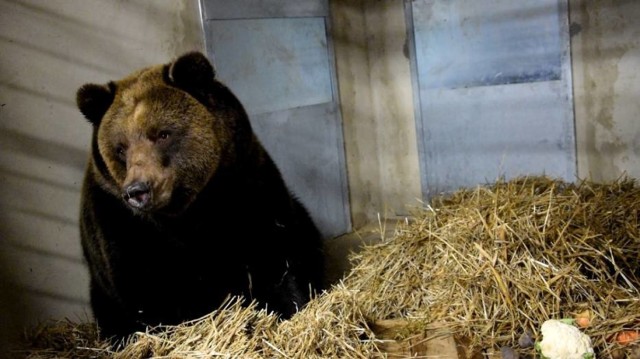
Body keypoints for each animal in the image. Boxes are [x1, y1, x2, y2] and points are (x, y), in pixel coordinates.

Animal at [75, 51, 324, 344]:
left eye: (162, 134)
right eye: (121, 147)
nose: (138, 191)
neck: (190, 212)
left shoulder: (247, 187)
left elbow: (276, 258)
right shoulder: (121, 224)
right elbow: (148, 293)